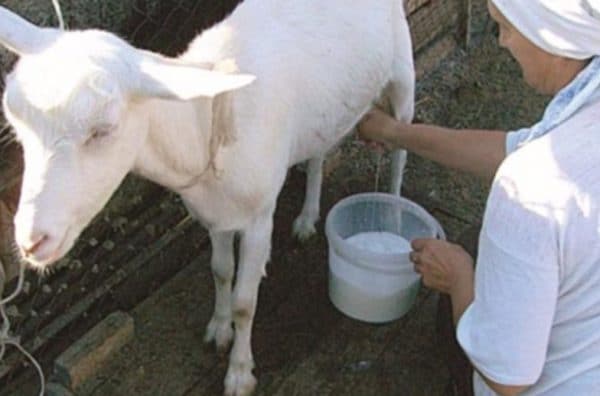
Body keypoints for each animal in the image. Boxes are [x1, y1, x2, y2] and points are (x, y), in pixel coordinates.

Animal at [0, 1, 414, 394]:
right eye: (17, 124)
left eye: (103, 130)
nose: (32, 240)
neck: (206, 124)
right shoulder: (214, 213)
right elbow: (220, 270)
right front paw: (219, 328)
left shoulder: (259, 217)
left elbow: (246, 303)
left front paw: (240, 372)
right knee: (318, 152)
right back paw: (307, 218)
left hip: (403, 75)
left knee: (400, 151)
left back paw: (394, 218)